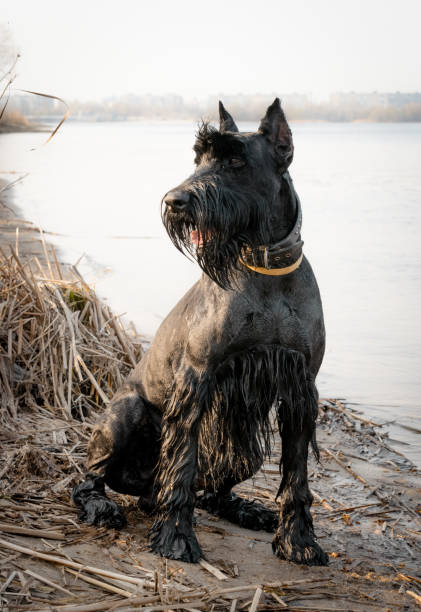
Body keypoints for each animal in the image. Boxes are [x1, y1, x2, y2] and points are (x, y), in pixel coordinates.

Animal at [72, 99, 328, 564]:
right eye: (199, 159)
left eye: (235, 160)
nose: (175, 201)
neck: (265, 268)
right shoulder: (196, 379)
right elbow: (181, 467)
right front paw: (176, 537)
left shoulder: (300, 389)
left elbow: (296, 477)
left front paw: (299, 540)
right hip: (121, 419)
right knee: (88, 478)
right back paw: (103, 506)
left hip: (244, 453)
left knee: (209, 491)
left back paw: (245, 509)